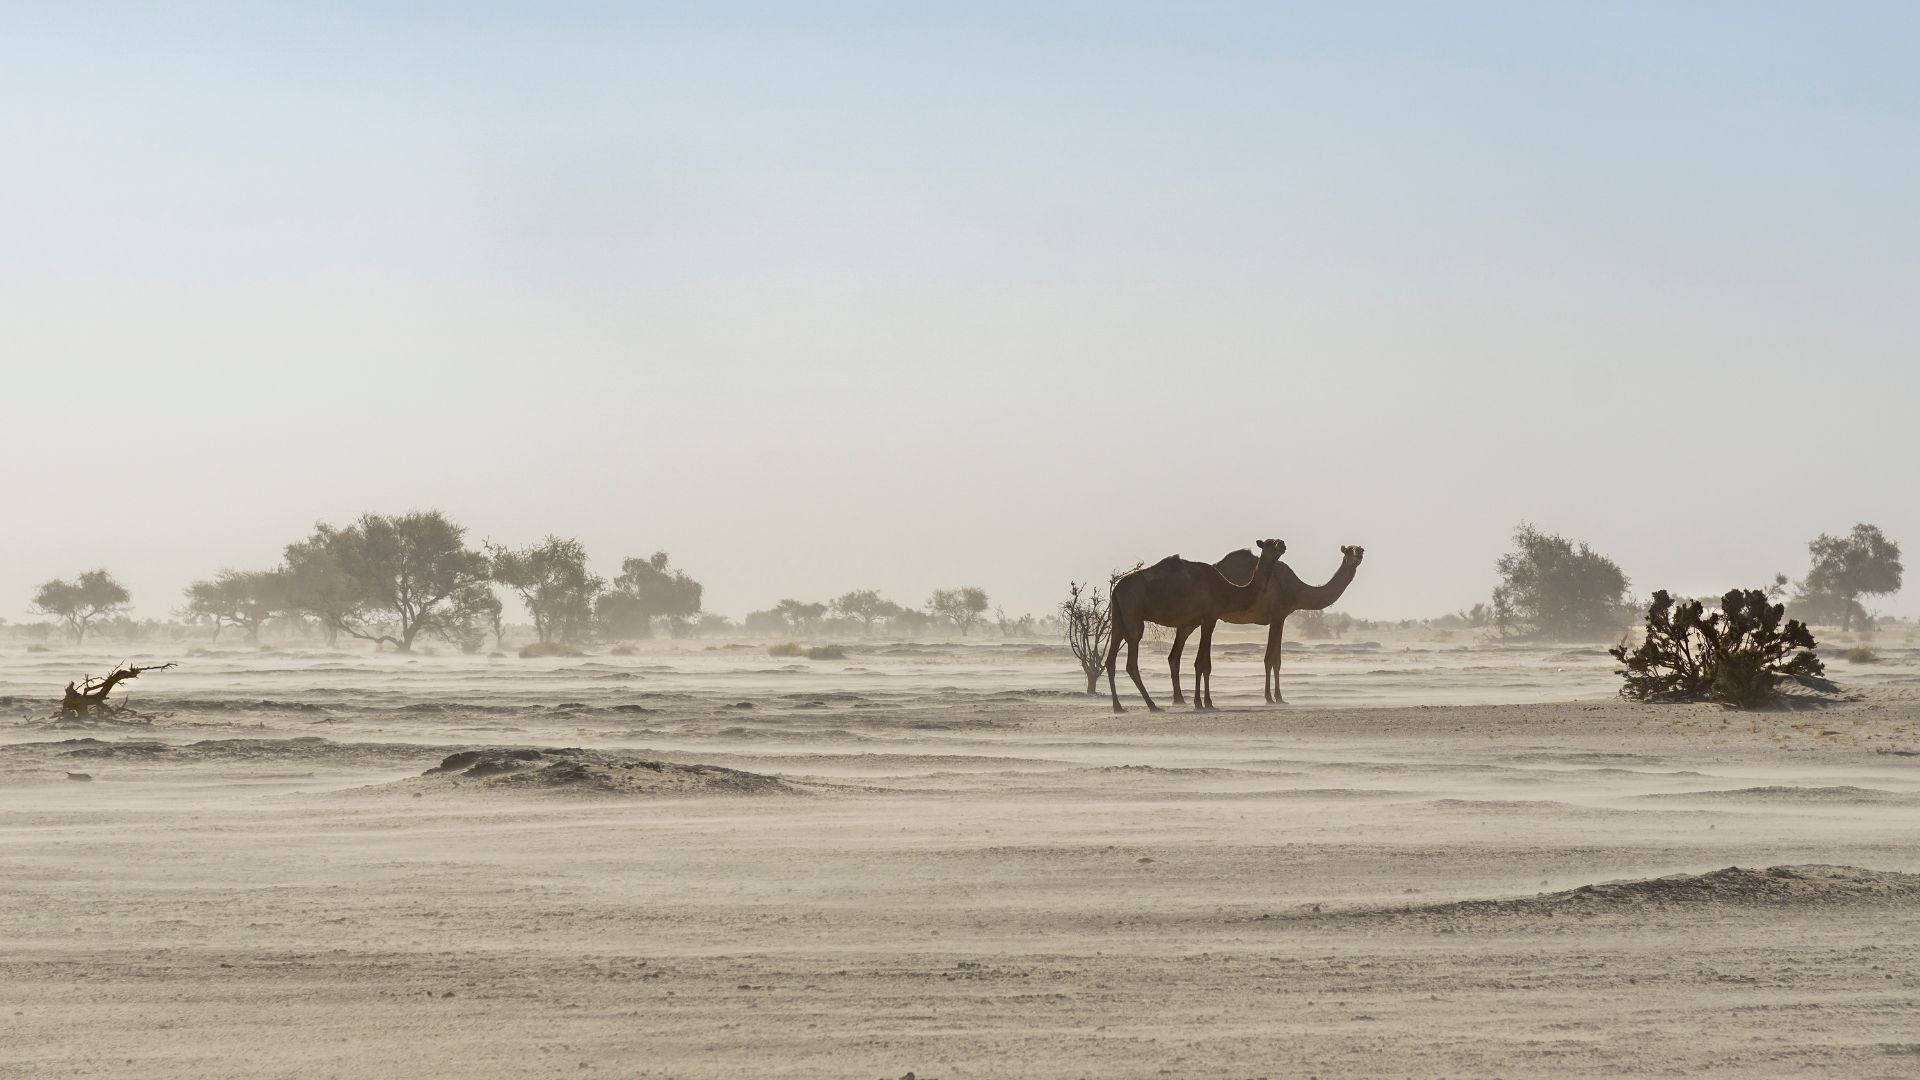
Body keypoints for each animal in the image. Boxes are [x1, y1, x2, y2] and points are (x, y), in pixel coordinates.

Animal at [1105, 534, 1282, 707]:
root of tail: (1116, 589)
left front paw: (1203, 701)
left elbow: (1201, 663)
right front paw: (1203, 702)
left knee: (1111, 658)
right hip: (1133, 613)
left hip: (1118, 617)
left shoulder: (1200, 621)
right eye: (1268, 543)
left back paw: (1118, 706)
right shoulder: (1209, 618)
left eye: (1277, 541)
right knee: (1131, 658)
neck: (1226, 590)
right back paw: (1152, 705)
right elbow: (1203, 664)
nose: (1282, 544)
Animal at [1159, 541, 1374, 703]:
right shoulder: (1278, 616)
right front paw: (1274, 697)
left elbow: (1275, 659)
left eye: (1361, 548)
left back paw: (1179, 699)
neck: (1297, 589)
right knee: (1176, 654)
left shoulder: (1279, 618)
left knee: (1174, 656)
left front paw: (1275, 696)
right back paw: (1181, 699)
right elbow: (1272, 659)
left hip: (1190, 620)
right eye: (1349, 550)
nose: (1358, 555)